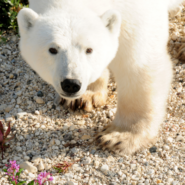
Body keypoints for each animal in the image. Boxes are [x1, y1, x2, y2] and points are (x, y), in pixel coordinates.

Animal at [17, 0, 184, 155]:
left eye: (89, 49)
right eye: (52, 49)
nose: (71, 84)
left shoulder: (138, 18)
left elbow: (137, 68)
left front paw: (119, 136)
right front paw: (85, 97)